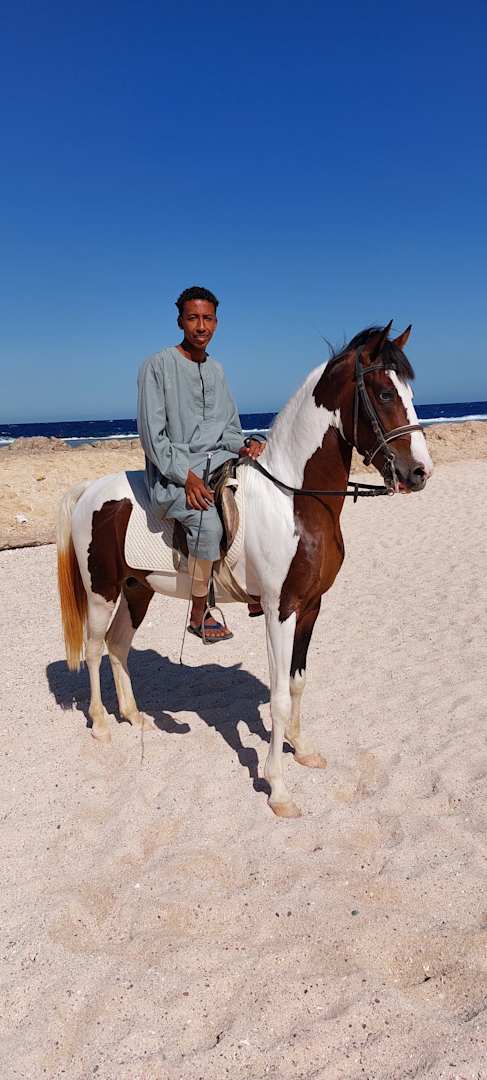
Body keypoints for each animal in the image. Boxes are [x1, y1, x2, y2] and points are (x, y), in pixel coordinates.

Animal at [57, 323, 433, 818]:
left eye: (410, 392)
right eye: (386, 392)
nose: (420, 472)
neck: (294, 498)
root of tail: (90, 490)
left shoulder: (310, 607)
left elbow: (297, 683)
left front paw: (302, 748)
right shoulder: (280, 609)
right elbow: (276, 697)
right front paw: (278, 788)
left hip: (138, 589)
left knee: (119, 646)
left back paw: (134, 716)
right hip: (102, 591)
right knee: (96, 648)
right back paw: (101, 724)